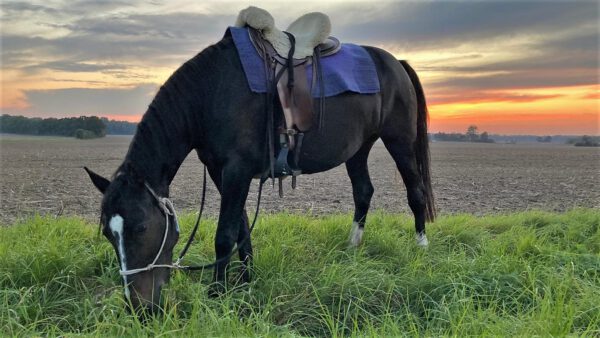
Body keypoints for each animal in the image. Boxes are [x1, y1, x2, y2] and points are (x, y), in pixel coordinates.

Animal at [84, 28, 436, 314]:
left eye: (141, 227)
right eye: (108, 233)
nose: (138, 309)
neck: (211, 92)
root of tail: (396, 62)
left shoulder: (236, 170)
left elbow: (225, 235)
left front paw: (217, 293)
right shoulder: (221, 172)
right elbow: (241, 228)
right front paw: (247, 280)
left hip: (400, 141)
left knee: (415, 192)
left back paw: (421, 247)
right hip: (358, 149)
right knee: (363, 192)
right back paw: (352, 247)